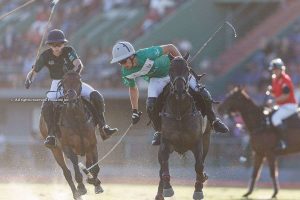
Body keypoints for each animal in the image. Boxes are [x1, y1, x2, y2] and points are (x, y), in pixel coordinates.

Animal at [39, 70, 103, 198]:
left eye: (79, 81)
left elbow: (95, 168)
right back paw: (76, 193)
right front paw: (81, 187)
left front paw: (95, 182)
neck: (76, 119)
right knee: (66, 172)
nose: (71, 99)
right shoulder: (67, 147)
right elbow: (75, 168)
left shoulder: (92, 144)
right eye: (63, 83)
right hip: (55, 150)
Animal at [155, 54, 211, 199]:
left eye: (187, 69)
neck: (179, 111)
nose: (180, 90)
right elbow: (164, 164)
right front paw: (167, 188)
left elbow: (199, 166)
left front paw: (198, 189)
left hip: (207, 138)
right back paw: (160, 193)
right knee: (160, 168)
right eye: (170, 70)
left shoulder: (197, 142)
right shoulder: (166, 142)